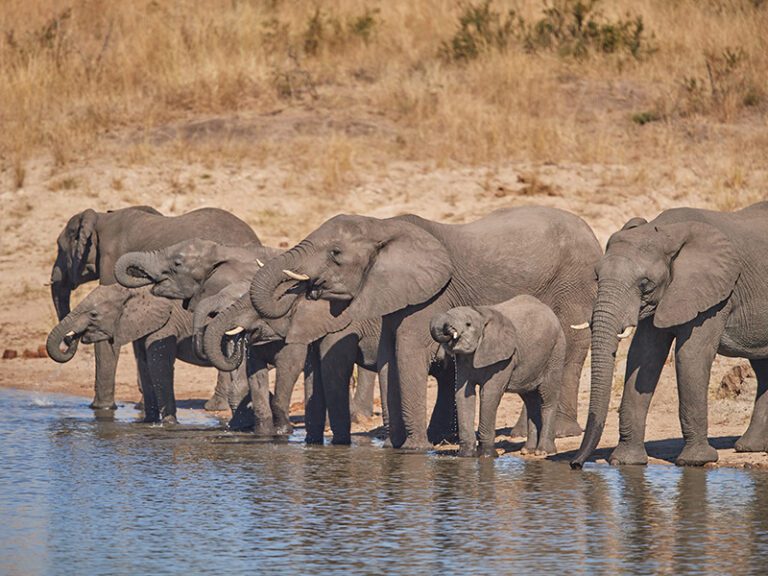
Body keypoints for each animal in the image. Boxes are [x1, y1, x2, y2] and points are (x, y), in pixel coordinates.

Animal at [46, 284, 242, 423]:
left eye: (93, 315)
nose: (74, 337)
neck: (135, 291)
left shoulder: (166, 324)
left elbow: (159, 365)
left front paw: (169, 423)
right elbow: (144, 364)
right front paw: (148, 422)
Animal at [50, 206, 259, 410]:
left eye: (59, 248)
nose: (70, 341)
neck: (102, 217)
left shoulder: (110, 260)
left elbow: (108, 338)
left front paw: (101, 408)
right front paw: (142, 407)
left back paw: (215, 406)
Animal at [431, 296, 566, 457]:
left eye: (468, 324)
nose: (449, 329)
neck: (481, 313)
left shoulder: (504, 358)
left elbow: (489, 394)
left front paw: (488, 456)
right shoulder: (464, 359)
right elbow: (463, 394)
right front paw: (466, 455)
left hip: (556, 351)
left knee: (548, 398)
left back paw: (543, 451)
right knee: (530, 400)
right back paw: (528, 450)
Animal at [571, 202, 768, 468]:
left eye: (645, 284)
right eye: (597, 277)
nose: (575, 464)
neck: (667, 231)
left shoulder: (716, 293)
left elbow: (691, 355)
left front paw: (694, 462)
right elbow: (643, 356)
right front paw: (626, 462)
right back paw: (750, 447)